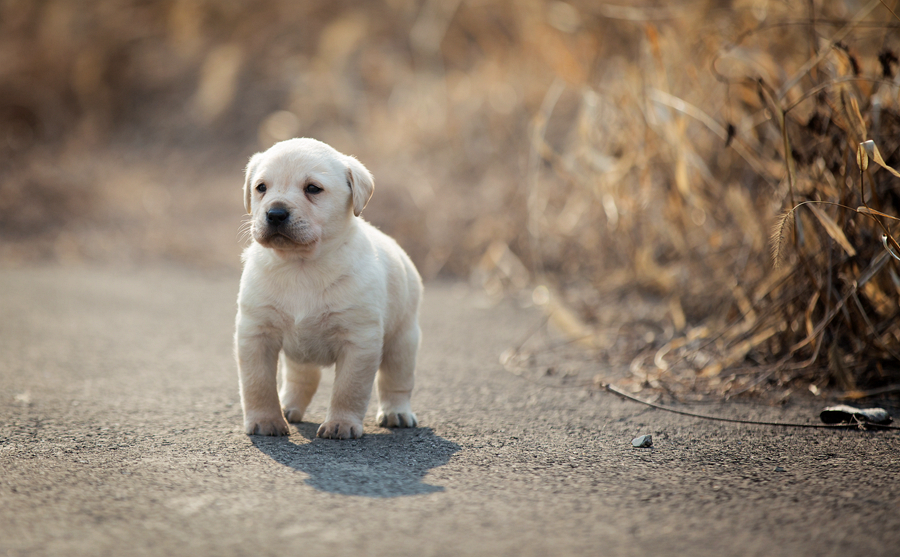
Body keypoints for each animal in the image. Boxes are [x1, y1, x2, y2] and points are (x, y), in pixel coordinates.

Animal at [236, 137, 426, 436]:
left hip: (403, 340)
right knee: (301, 378)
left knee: (396, 381)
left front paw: (341, 424)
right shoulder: (256, 334)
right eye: (261, 188)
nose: (275, 214)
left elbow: (349, 389)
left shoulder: (359, 340)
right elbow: (258, 384)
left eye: (313, 189)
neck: (301, 265)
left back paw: (397, 413)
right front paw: (266, 421)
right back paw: (288, 407)